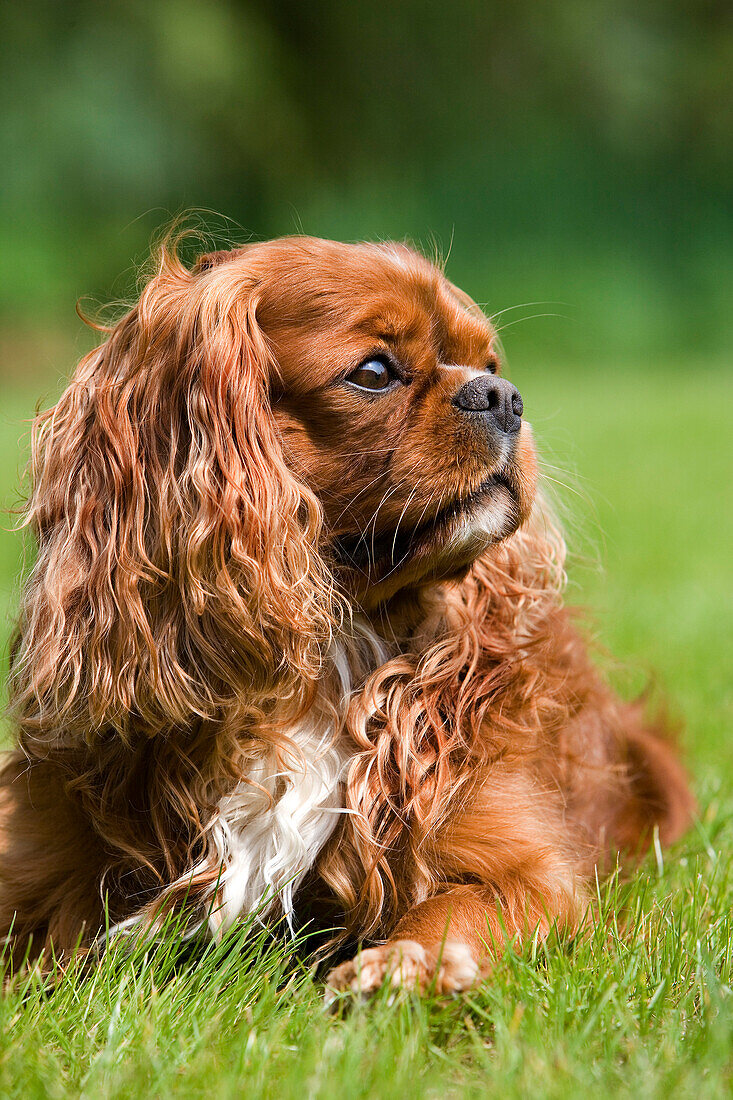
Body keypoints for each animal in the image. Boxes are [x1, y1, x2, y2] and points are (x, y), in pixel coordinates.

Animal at [0, 234, 691, 990]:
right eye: (373, 373)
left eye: (490, 366)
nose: (502, 397)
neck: (338, 639)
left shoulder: (529, 869)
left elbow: (456, 910)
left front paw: (400, 969)